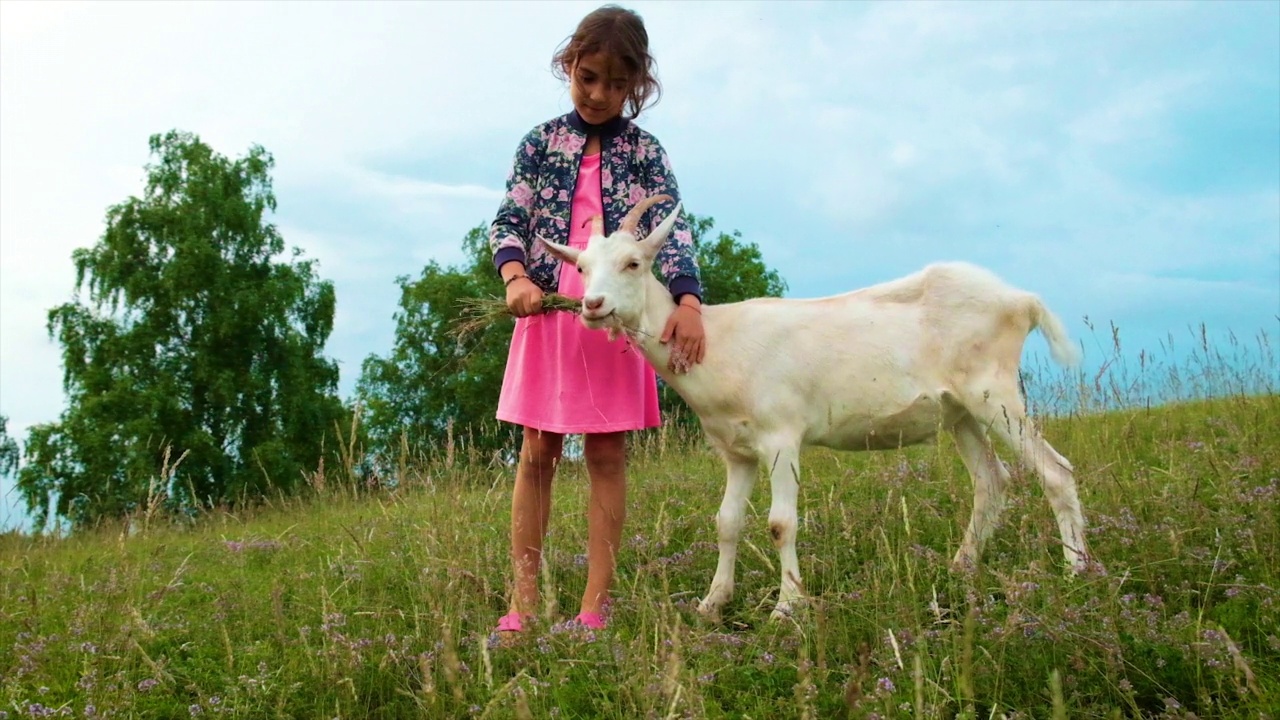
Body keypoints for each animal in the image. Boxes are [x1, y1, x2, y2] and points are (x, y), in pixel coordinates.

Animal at [545, 194, 1095, 617]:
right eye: (581, 268)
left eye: (633, 263)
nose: (592, 306)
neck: (719, 344)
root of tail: (1022, 300)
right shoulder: (737, 451)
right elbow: (726, 522)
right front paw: (711, 603)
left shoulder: (781, 438)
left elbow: (779, 523)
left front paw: (787, 607)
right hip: (960, 410)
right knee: (991, 480)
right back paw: (961, 566)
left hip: (994, 393)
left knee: (1055, 471)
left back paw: (1077, 571)